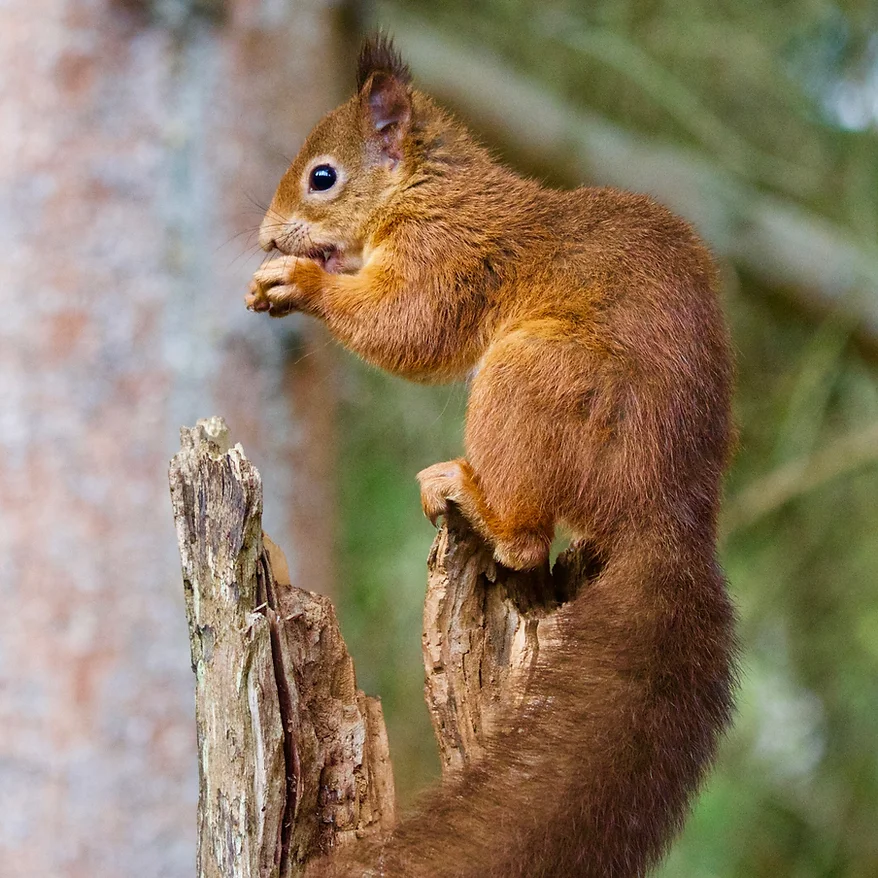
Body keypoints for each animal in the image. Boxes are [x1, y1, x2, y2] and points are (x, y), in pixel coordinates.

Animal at [246, 35, 736, 878]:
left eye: (322, 177)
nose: (267, 237)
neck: (430, 188)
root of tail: (670, 510)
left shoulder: (448, 254)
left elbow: (409, 326)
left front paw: (302, 281)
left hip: (531, 375)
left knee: (526, 542)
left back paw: (472, 497)